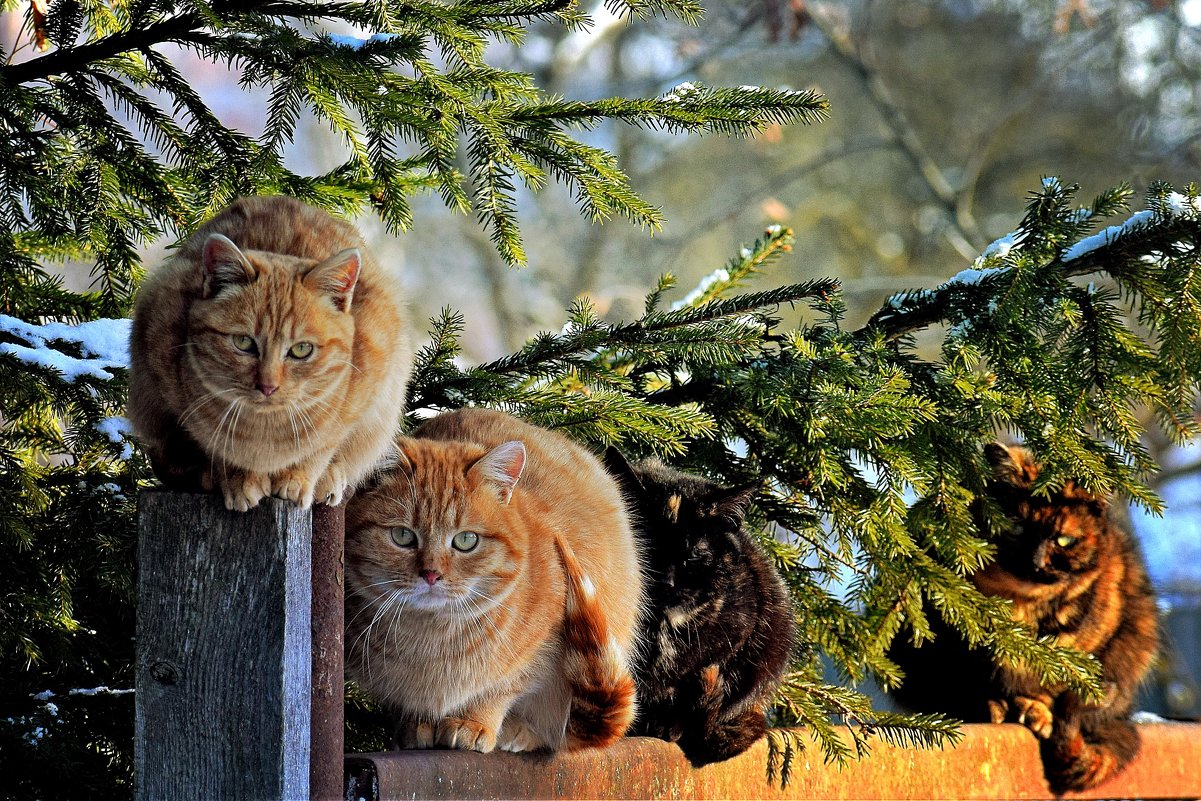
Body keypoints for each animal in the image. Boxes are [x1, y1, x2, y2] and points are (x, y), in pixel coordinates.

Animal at [125, 194, 408, 511]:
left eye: (301, 349)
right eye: (243, 342)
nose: (268, 386)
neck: (266, 432)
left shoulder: (365, 392)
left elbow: (323, 446)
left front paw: (298, 478)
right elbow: (214, 446)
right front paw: (236, 478)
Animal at [345, 410, 648, 754]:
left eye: (466, 540)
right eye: (402, 535)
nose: (431, 575)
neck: (431, 637)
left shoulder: (533, 659)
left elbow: (498, 690)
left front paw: (473, 722)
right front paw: (416, 723)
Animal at [600, 449, 797, 768]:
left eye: (692, 556)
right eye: (646, 548)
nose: (665, 582)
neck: (657, 627)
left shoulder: (737, 634)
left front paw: (666, 722)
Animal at [888, 444, 1157, 797]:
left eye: (1064, 540)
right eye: (1016, 527)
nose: (1036, 562)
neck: (1021, 604)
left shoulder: (1096, 635)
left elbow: (1051, 678)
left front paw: (1035, 708)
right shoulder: (946, 635)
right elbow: (968, 677)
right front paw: (992, 705)